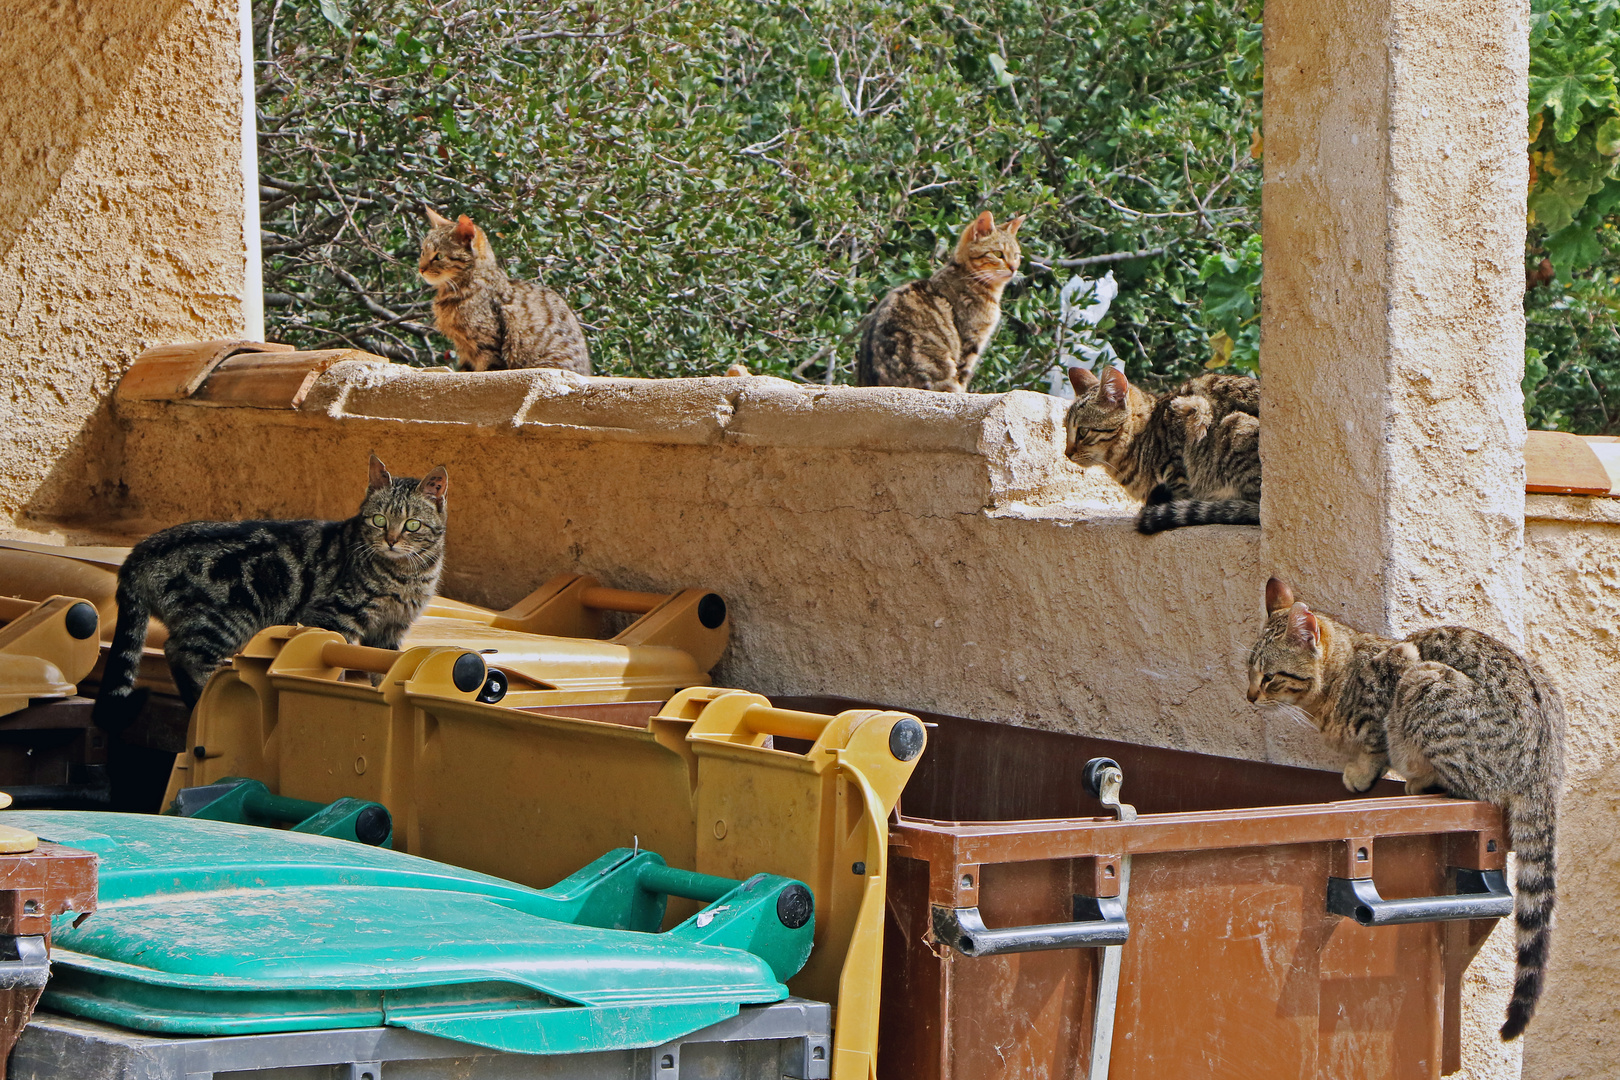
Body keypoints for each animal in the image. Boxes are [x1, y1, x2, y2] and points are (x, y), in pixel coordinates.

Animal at [93, 453, 450, 722]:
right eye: (379, 520)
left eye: (412, 525)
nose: (391, 540)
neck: (407, 575)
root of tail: (140, 551)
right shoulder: (333, 620)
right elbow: (337, 668)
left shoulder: (389, 631)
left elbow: (385, 669)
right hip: (224, 621)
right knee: (181, 653)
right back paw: (203, 699)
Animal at [421, 207, 592, 375]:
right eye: (423, 252)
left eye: (439, 256)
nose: (421, 269)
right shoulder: (464, 349)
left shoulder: (487, 346)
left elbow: (486, 369)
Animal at [1244, 579, 1561, 1042]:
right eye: (1249, 671)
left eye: (1269, 677)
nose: (1249, 696)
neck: (1340, 678)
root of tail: (1545, 762)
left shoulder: (1396, 673)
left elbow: (1374, 742)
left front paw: (1360, 771)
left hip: (1425, 683)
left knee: (1469, 784)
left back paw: (1421, 780)